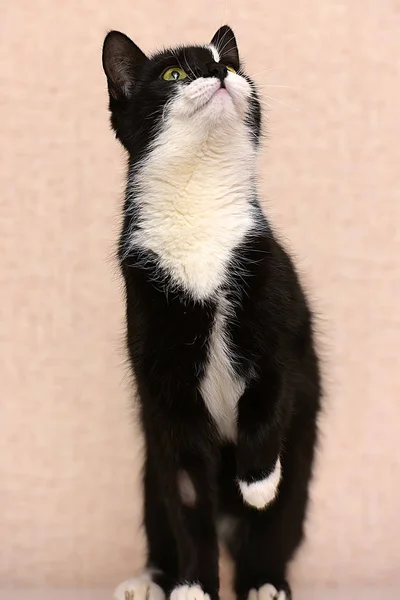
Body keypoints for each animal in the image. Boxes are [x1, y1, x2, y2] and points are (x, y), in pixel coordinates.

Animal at [102, 23, 322, 600]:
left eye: (232, 63)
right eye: (174, 73)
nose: (221, 72)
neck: (197, 202)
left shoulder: (277, 308)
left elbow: (272, 391)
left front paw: (258, 480)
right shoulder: (163, 378)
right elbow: (186, 498)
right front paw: (195, 585)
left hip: (304, 463)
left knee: (278, 524)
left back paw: (265, 581)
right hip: (146, 474)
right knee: (161, 509)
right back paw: (149, 580)